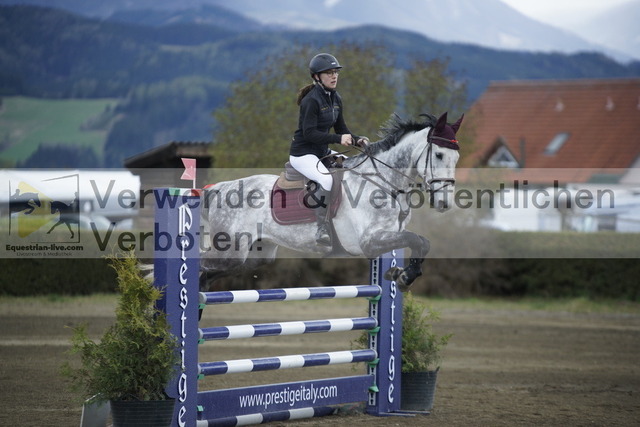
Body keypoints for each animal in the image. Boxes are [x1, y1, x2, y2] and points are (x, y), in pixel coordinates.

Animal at [198, 111, 462, 290]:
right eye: (439, 155)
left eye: (456, 157)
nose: (444, 203)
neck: (384, 182)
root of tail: (219, 189)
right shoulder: (369, 241)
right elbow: (418, 240)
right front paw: (405, 276)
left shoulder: (390, 234)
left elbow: (422, 242)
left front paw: (401, 275)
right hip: (231, 251)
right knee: (201, 264)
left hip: (254, 257)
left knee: (209, 273)